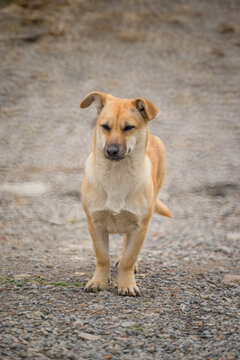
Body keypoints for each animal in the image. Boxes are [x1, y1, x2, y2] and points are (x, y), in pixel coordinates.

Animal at [79, 91, 172, 296]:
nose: (112, 151)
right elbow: (102, 257)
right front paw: (99, 281)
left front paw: (126, 284)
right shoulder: (94, 224)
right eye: (105, 126)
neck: (116, 175)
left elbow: (129, 258)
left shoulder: (140, 227)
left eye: (129, 127)